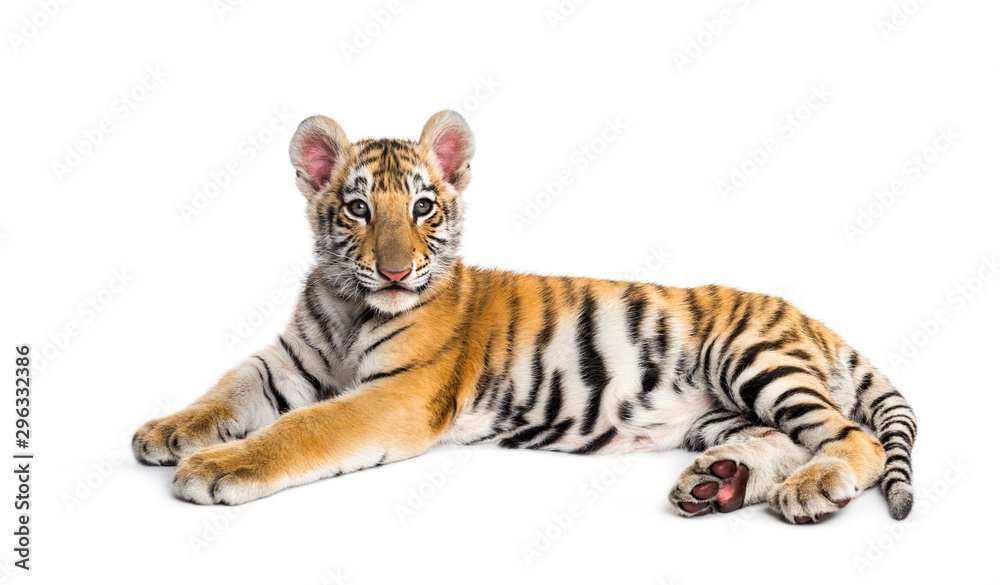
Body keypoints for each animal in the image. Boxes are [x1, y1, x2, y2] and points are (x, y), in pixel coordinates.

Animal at [132, 110, 917, 523]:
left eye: (423, 206)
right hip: (718, 411)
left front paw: (217, 465)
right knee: (781, 436)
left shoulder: (399, 394)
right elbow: (226, 388)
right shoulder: (287, 357)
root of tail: (813, 321)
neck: (351, 305)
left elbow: (306, 428)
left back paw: (812, 487)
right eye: (356, 208)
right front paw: (166, 430)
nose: (395, 271)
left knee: (853, 438)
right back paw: (716, 482)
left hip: (752, 359)